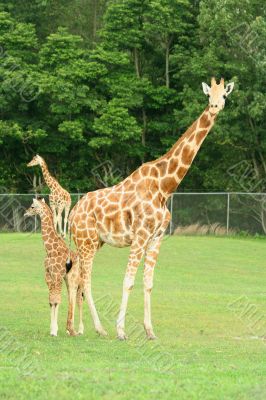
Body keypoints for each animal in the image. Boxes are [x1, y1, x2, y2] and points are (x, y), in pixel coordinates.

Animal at [24, 198, 83, 336]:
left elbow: (57, 300)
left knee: (78, 299)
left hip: (76, 279)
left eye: (32, 206)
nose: (25, 213)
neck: (50, 250)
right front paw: (53, 329)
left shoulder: (57, 274)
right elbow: (51, 301)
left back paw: (78, 329)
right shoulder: (48, 275)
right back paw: (70, 329)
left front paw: (54, 331)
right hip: (68, 279)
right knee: (72, 296)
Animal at [69, 79, 235, 340]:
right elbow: (128, 281)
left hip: (93, 241)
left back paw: (78, 328)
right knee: (84, 279)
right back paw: (99, 328)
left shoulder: (157, 237)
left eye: (224, 95)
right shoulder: (140, 235)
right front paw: (121, 331)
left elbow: (148, 283)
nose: (215, 106)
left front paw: (150, 331)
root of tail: (73, 212)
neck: (165, 187)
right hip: (86, 241)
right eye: (209, 95)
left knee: (78, 277)